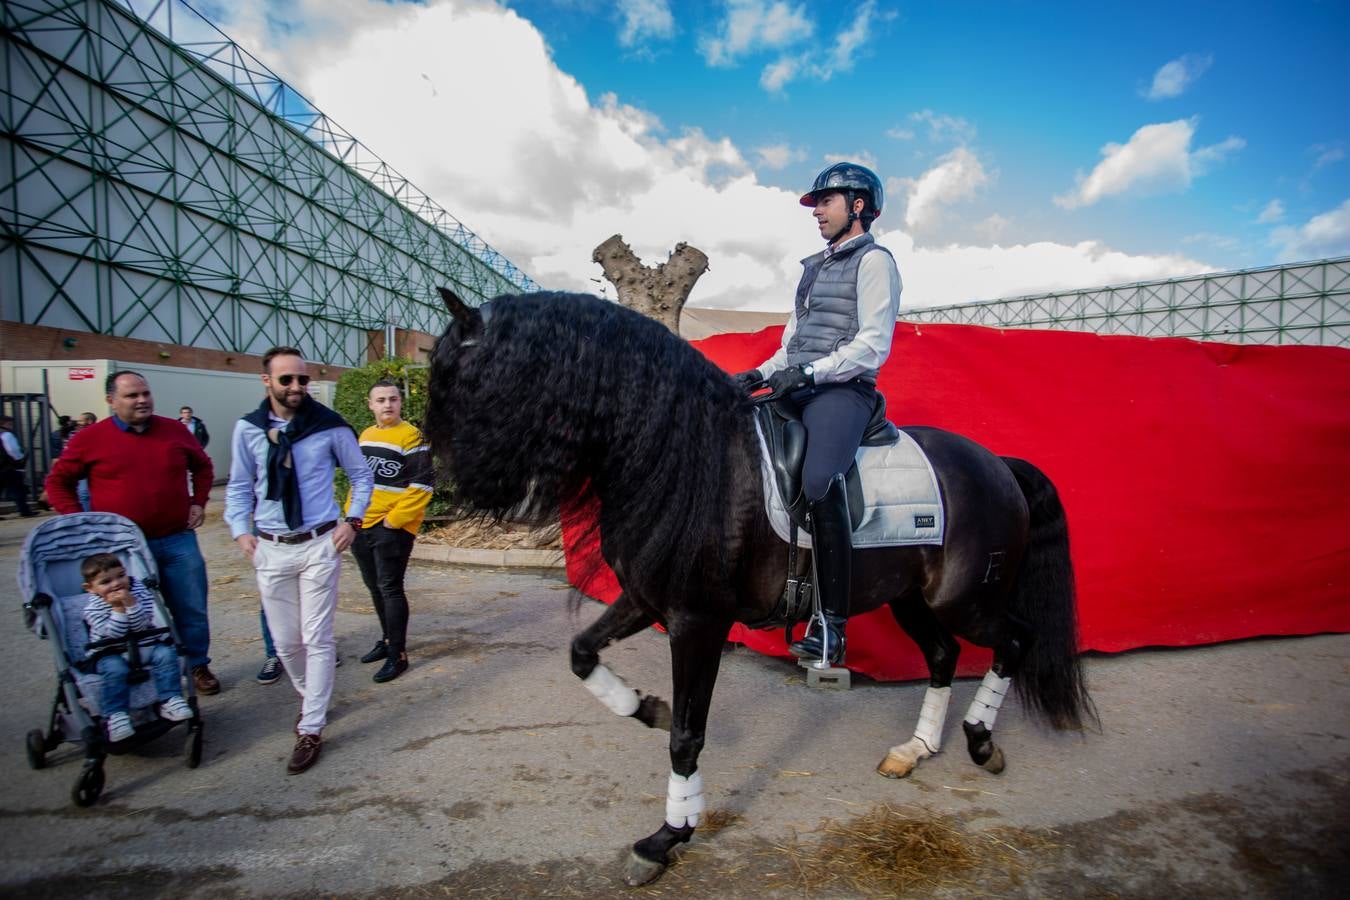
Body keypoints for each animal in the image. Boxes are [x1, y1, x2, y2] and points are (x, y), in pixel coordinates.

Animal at [426, 290, 1090, 885]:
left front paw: (668, 836)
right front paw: (645, 708)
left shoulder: (697, 621)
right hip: (911, 597)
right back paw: (918, 748)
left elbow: (687, 737)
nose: (437, 481)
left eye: (461, 379)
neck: (688, 457)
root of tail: (998, 463)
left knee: (1013, 641)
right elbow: (582, 654)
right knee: (944, 654)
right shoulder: (646, 600)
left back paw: (980, 743)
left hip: (967, 600)